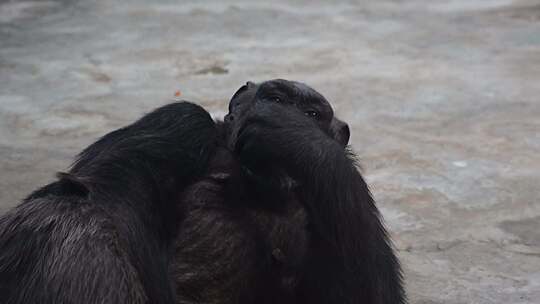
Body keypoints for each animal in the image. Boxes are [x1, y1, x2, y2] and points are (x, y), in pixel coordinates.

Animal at [0, 79, 404, 304]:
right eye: (274, 98)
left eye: (313, 115)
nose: (287, 115)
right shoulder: (178, 123)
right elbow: (102, 195)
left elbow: (365, 294)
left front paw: (290, 134)